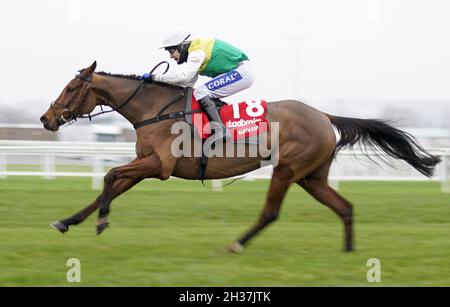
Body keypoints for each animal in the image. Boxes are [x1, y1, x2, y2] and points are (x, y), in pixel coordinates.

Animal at [39, 61, 440, 254]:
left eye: (72, 88)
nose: (46, 118)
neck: (154, 110)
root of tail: (324, 116)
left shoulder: (160, 166)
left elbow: (108, 177)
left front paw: (102, 222)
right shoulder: (146, 166)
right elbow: (107, 187)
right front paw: (67, 221)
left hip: (288, 170)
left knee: (271, 212)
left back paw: (236, 244)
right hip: (312, 176)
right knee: (344, 207)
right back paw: (348, 250)